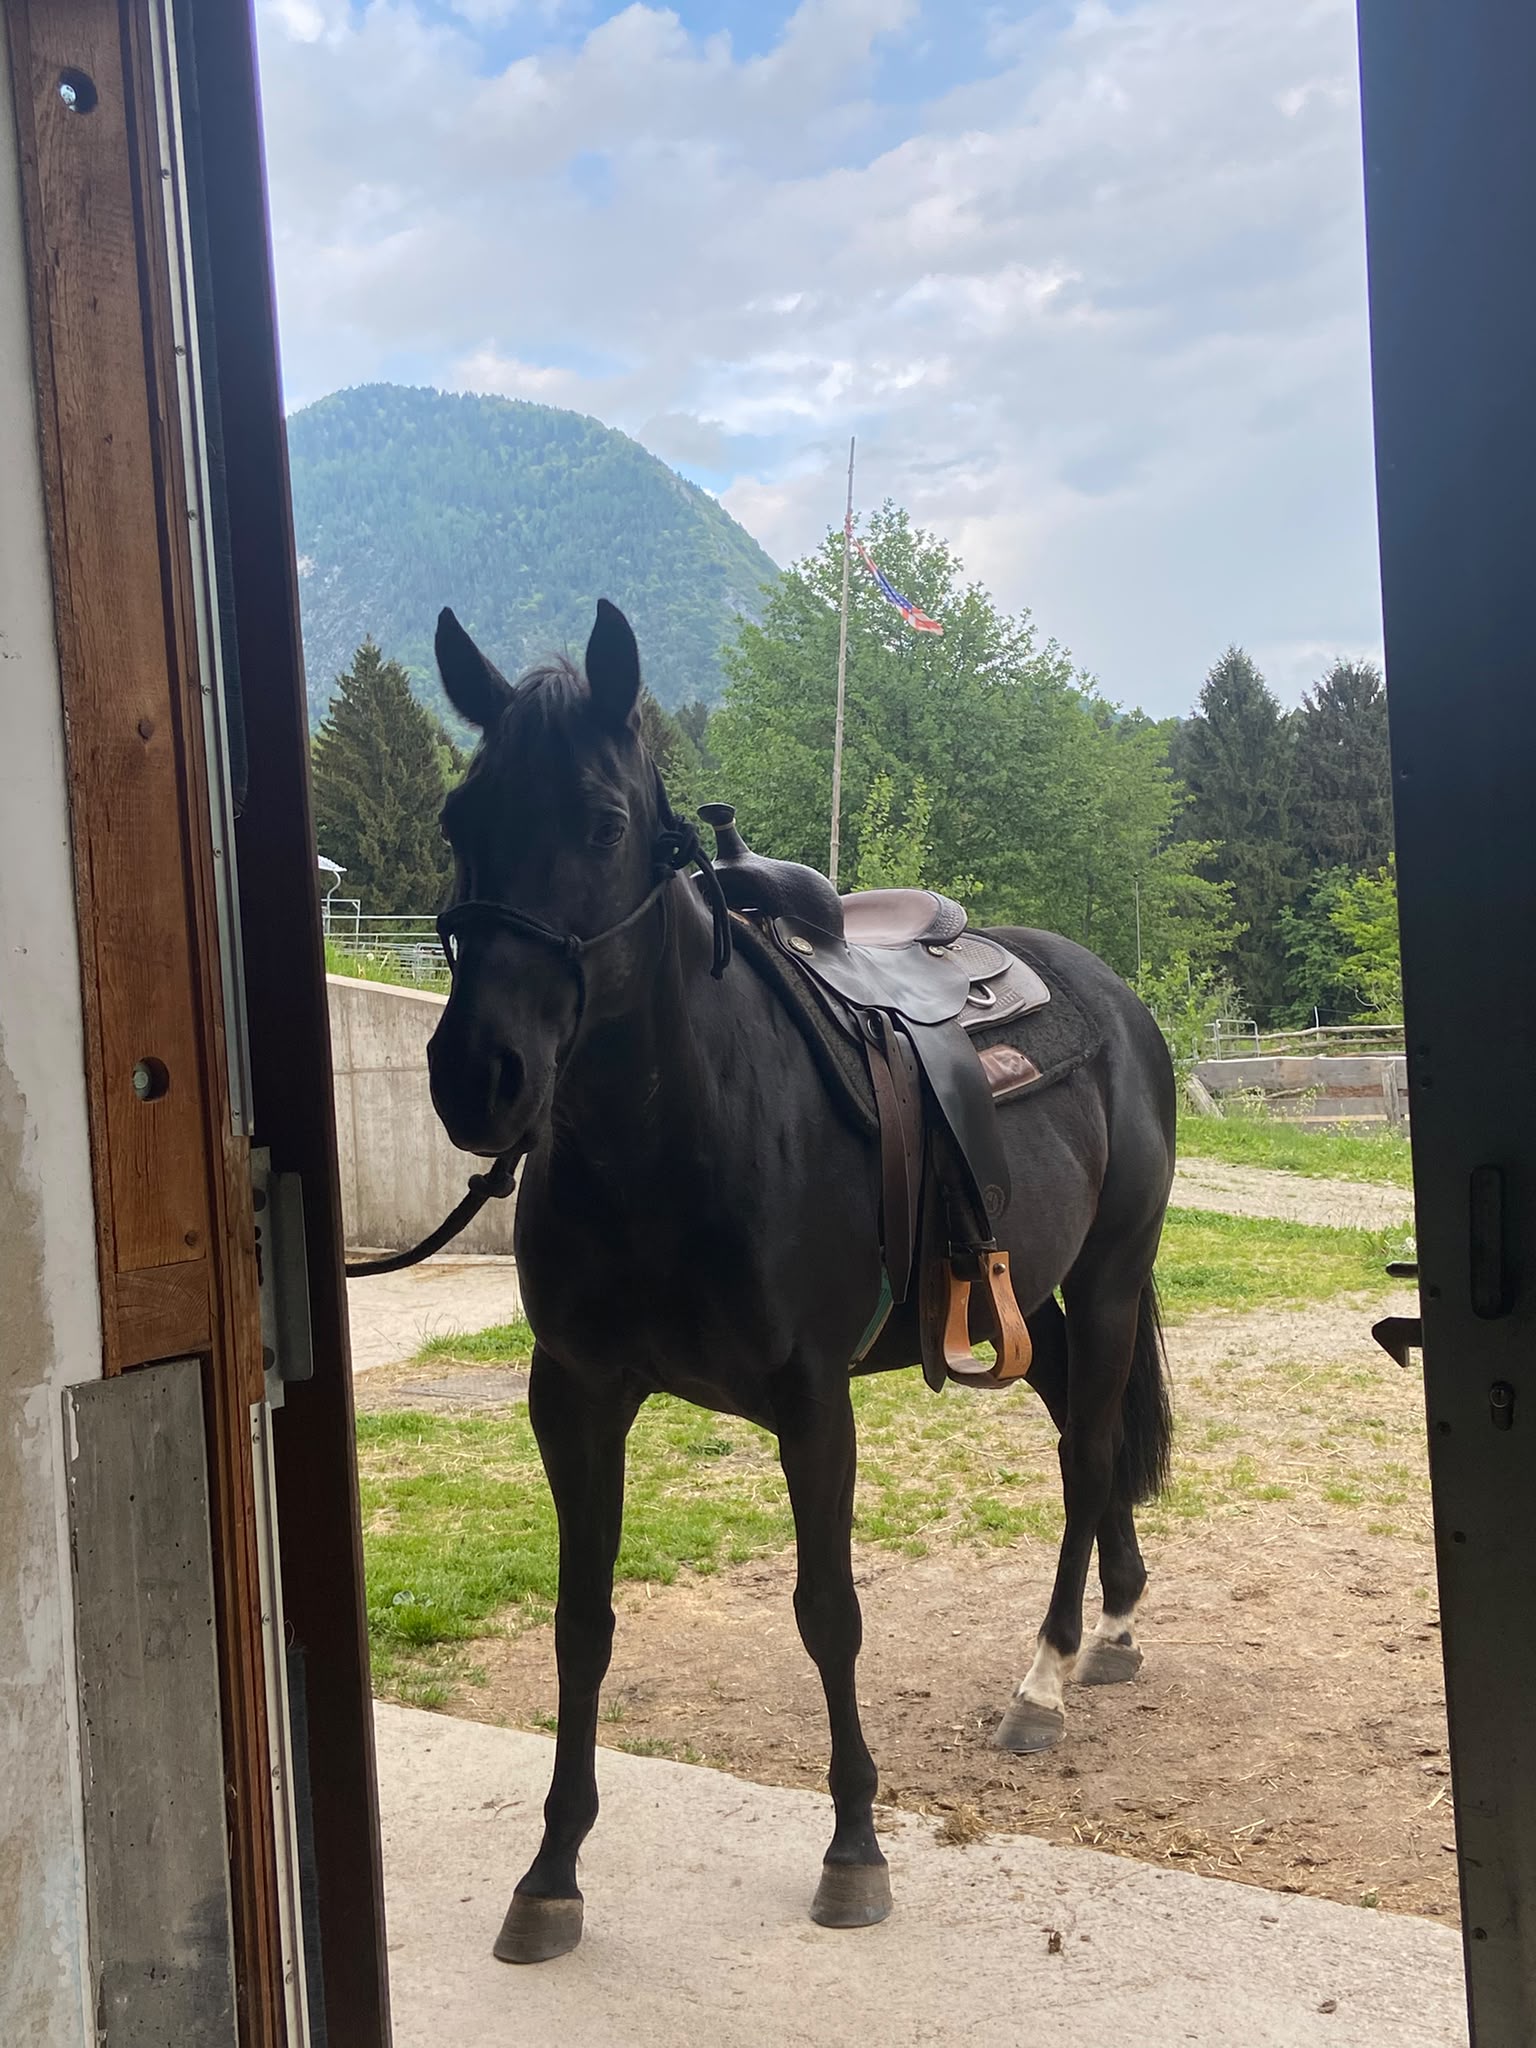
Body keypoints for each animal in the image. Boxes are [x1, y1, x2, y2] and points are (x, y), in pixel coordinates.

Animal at [424, 597, 1177, 1964]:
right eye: (462, 818)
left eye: (602, 823)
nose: (477, 1075)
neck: (675, 1133)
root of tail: (1116, 999)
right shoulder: (574, 1397)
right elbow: (581, 1621)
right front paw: (551, 1869)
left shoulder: (814, 1403)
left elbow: (830, 1609)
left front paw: (855, 1845)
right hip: (1033, 1303)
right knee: (1079, 1446)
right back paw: (1117, 1620)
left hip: (1105, 1282)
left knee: (1090, 1455)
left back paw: (1044, 1677)